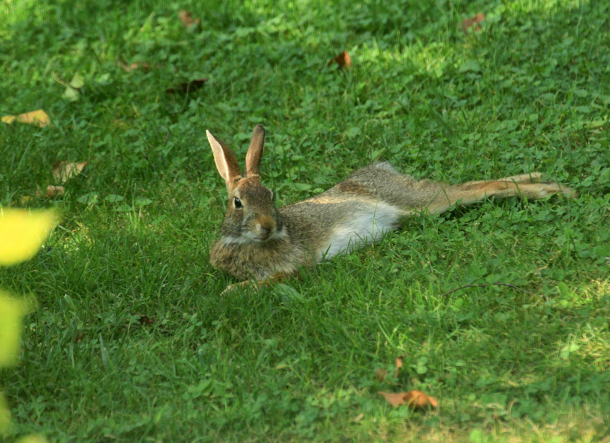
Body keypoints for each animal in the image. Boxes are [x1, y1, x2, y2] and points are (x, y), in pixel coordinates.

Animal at [207, 125, 572, 294]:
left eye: (272, 195)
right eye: (238, 202)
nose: (267, 226)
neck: (247, 242)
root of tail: (382, 170)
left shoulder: (296, 266)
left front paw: (230, 291)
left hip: (420, 200)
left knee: (479, 188)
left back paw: (553, 190)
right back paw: (540, 180)